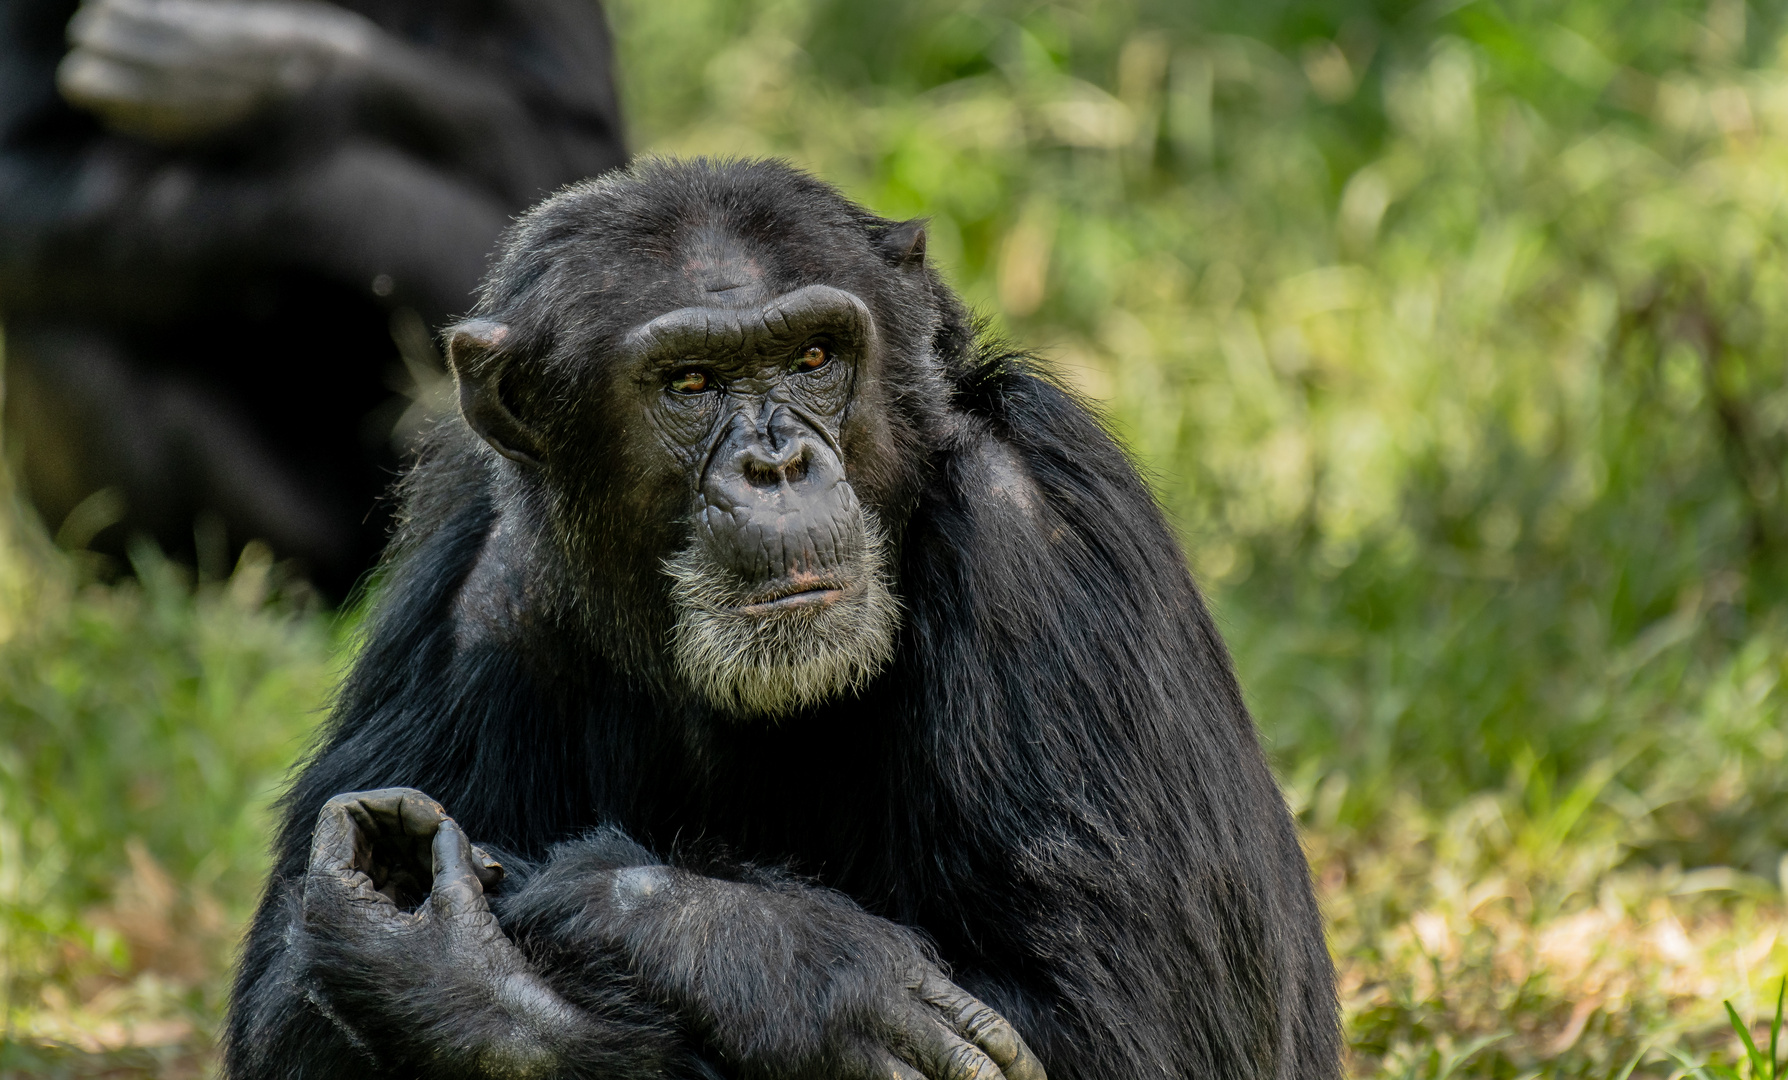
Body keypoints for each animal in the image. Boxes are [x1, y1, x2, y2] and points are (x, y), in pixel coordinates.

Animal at [227, 160, 1344, 1080]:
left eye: (812, 358)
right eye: (690, 382)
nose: (775, 461)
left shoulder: (1035, 534)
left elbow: (1125, 1026)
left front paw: (631, 927)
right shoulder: (472, 591)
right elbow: (285, 1013)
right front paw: (788, 969)